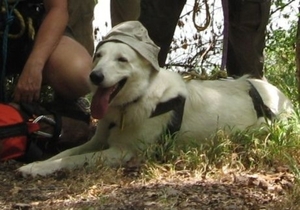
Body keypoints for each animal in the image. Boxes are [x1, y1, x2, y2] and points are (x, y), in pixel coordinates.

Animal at [18, 21, 292, 176]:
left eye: (122, 60)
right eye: (98, 56)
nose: (94, 77)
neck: (134, 102)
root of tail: (279, 94)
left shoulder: (122, 152)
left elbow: (72, 159)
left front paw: (35, 168)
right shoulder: (98, 140)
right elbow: (66, 152)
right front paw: (39, 163)